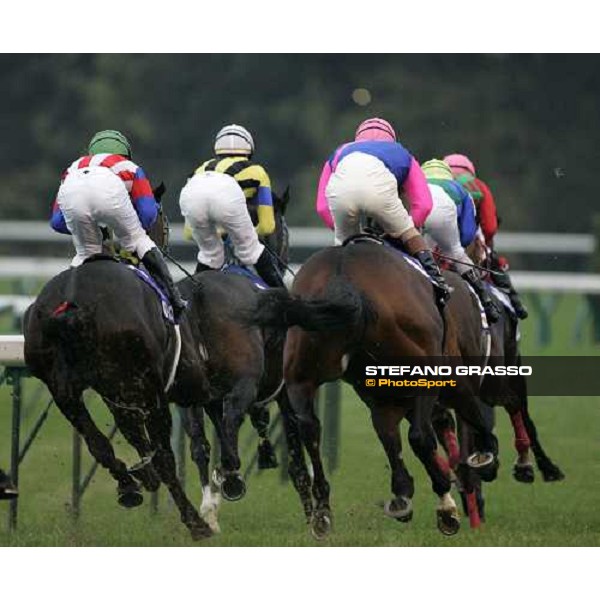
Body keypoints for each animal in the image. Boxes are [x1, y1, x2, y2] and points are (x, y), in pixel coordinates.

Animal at [24, 256, 216, 540]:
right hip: (146, 391)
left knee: (99, 444)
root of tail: (69, 304)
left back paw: (129, 486)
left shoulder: (114, 393)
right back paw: (196, 522)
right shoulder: (162, 387)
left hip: (64, 394)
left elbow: (128, 432)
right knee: (163, 458)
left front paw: (143, 475)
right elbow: (155, 448)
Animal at [248, 239, 502, 540]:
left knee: (310, 429)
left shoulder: (382, 398)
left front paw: (404, 494)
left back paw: (323, 512)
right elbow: (465, 420)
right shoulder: (450, 378)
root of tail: (344, 278)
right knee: (422, 434)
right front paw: (484, 460)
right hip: (426, 372)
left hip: (301, 375)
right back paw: (448, 505)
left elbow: (392, 440)